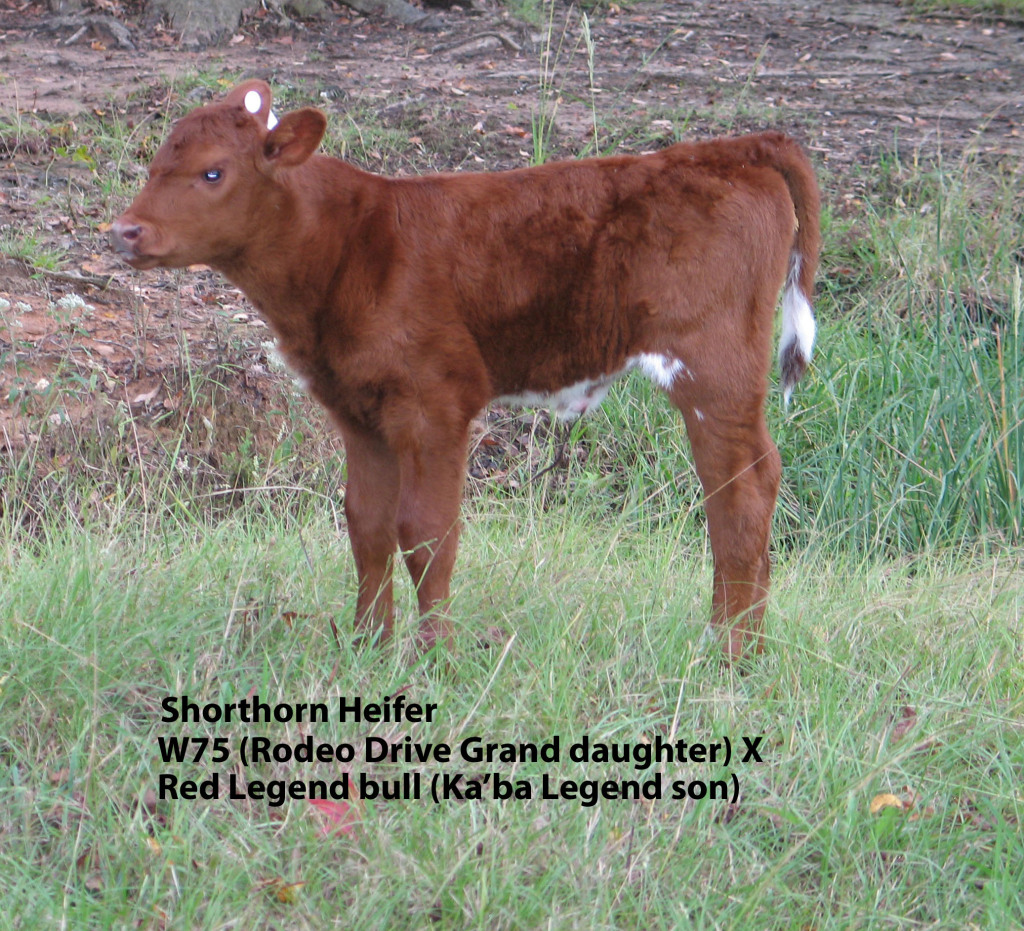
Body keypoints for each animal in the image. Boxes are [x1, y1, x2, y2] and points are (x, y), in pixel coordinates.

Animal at [110, 81, 823, 659]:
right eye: (155, 163)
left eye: (213, 172)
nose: (125, 231)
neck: (343, 247)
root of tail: (737, 147)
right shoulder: (357, 407)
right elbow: (366, 525)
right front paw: (368, 648)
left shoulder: (436, 401)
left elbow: (427, 533)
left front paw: (435, 659)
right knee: (757, 479)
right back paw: (748, 646)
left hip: (713, 365)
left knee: (739, 490)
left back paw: (729, 653)